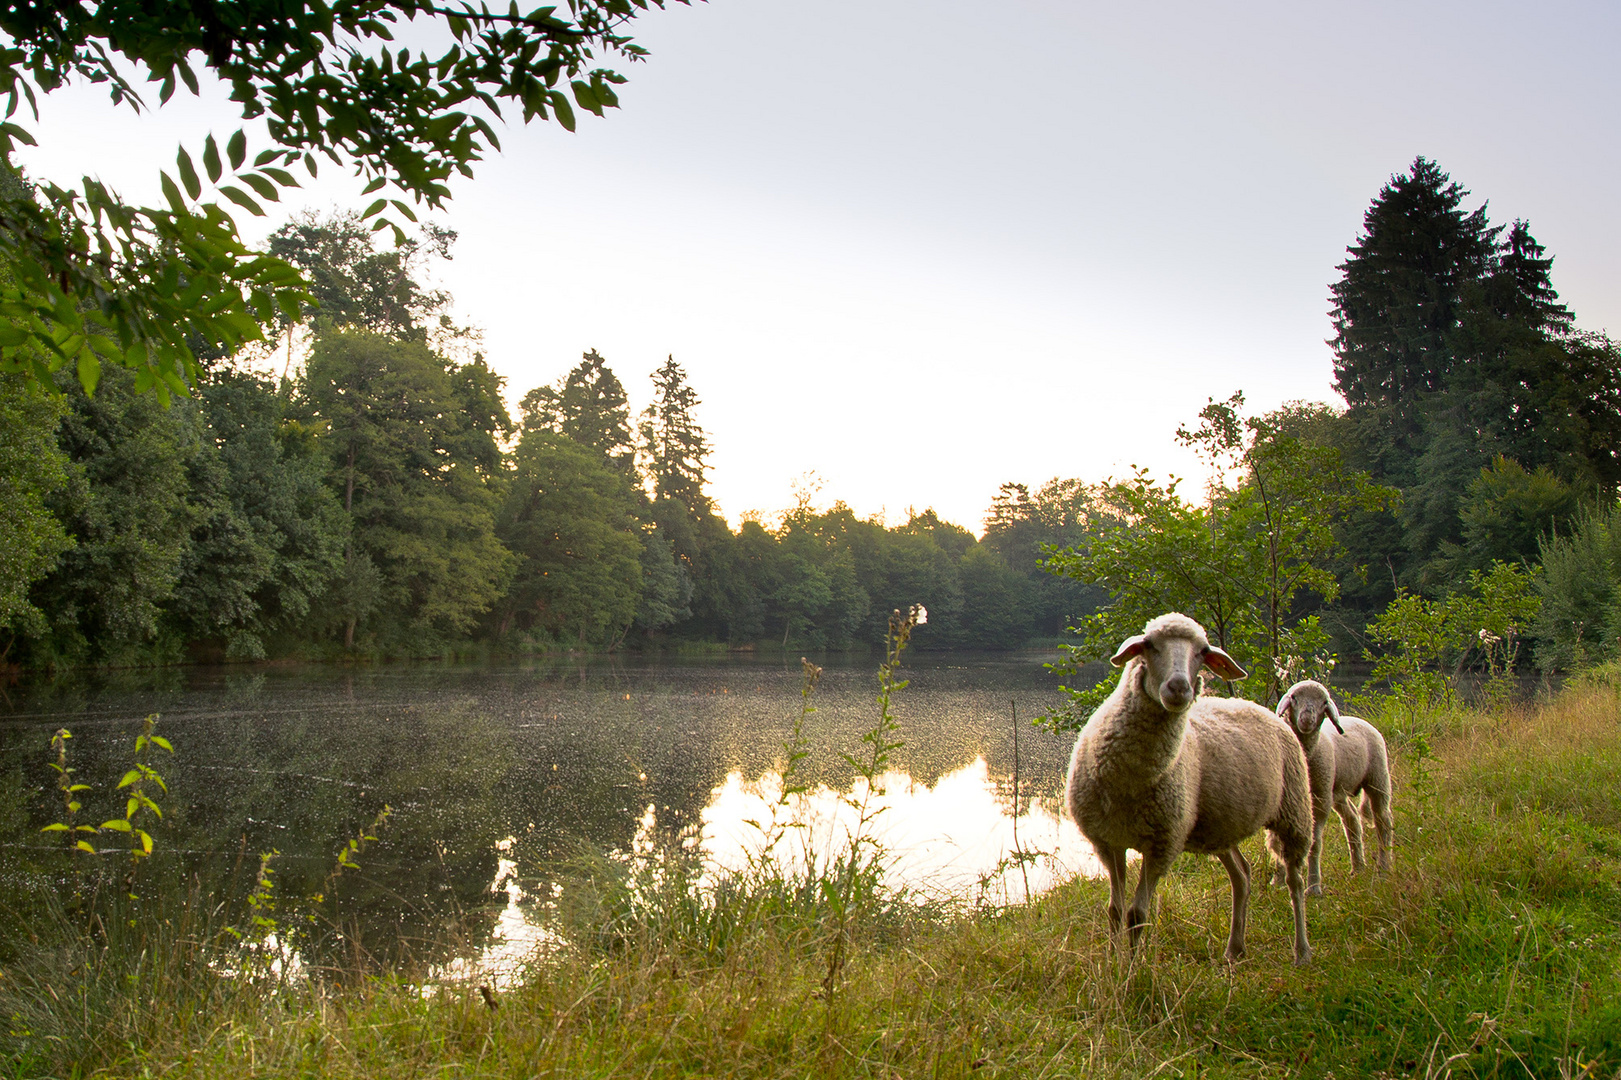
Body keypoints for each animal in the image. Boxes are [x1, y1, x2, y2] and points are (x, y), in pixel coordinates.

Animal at [1063, 609, 1316, 960]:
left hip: (1294, 813)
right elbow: (1114, 910)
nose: (1179, 688)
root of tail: (1257, 706)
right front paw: (1112, 963)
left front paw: (1131, 967)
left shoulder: (1162, 845)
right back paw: (1234, 950)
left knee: (1295, 881)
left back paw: (1302, 950)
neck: (1129, 782)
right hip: (1221, 829)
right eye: (1149, 644)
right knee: (1242, 875)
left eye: (1202, 652)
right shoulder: (1107, 842)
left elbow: (1137, 915)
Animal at [1264, 681, 1394, 888]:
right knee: (1352, 818)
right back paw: (1358, 868)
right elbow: (1278, 841)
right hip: (1337, 790)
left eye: (1324, 702)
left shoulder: (1319, 799)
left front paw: (1313, 886)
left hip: (1377, 777)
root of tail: (1359, 719)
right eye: (1294, 697)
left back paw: (1383, 868)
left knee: (1383, 820)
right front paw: (1278, 881)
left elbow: (1314, 843)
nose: (1307, 719)